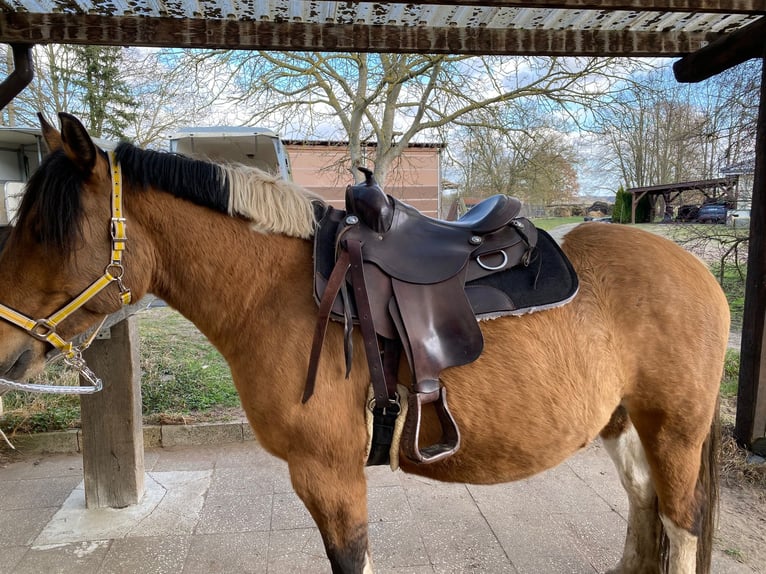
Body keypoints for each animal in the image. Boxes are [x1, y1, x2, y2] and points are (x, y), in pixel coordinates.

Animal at [0, 113, 729, 574]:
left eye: (46, 230)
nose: (5, 348)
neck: (276, 292)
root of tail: (698, 269)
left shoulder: (329, 475)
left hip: (674, 432)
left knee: (682, 524)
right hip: (623, 424)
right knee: (647, 509)